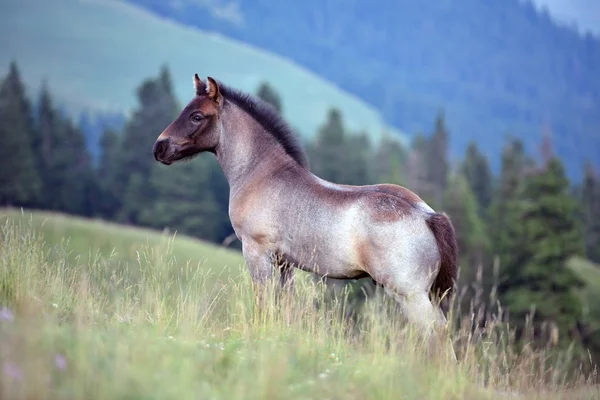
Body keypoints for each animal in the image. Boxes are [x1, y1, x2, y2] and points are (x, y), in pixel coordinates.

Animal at [152, 74, 458, 360]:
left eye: (196, 116)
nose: (159, 148)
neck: (261, 173)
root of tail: (427, 216)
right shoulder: (284, 263)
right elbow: (284, 307)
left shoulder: (256, 252)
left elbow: (263, 304)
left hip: (410, 295)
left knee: (435, 333)